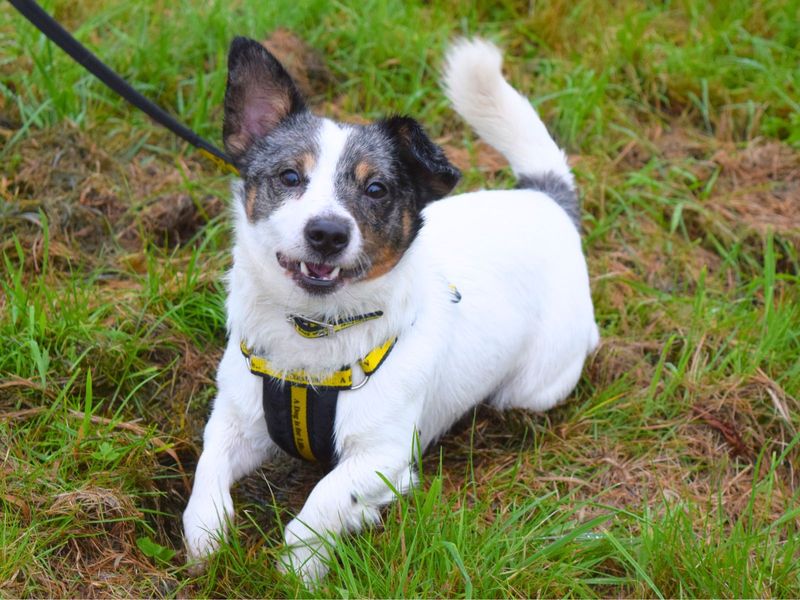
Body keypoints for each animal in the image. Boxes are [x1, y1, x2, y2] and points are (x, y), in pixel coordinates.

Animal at [181, 35, 592, 580]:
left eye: (376, 189)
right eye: (289, 176)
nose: (328, 233)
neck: (314, 333)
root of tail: (548, 200)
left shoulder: (384, 454)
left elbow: (325, 500)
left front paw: (303, 564)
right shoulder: (236, 419)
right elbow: (209, 464)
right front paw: (206, 534)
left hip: (533, 387)